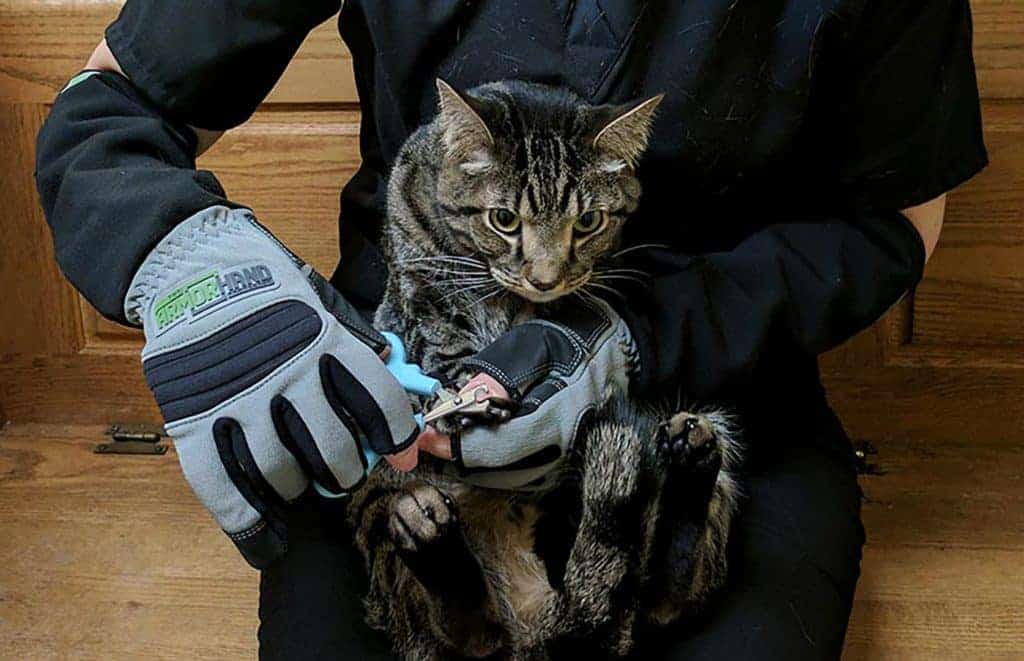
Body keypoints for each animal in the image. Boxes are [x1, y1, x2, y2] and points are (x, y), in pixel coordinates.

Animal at [347, 80, 741, 660]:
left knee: (663, 596)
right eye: (504, 220)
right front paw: (466, 387)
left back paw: (692, 458)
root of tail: (534, 620)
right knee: (465, 633)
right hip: (380, 504)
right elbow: (441, 345)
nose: (545, 278)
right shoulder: (422, 298)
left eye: (589, 222)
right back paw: (425, 532)